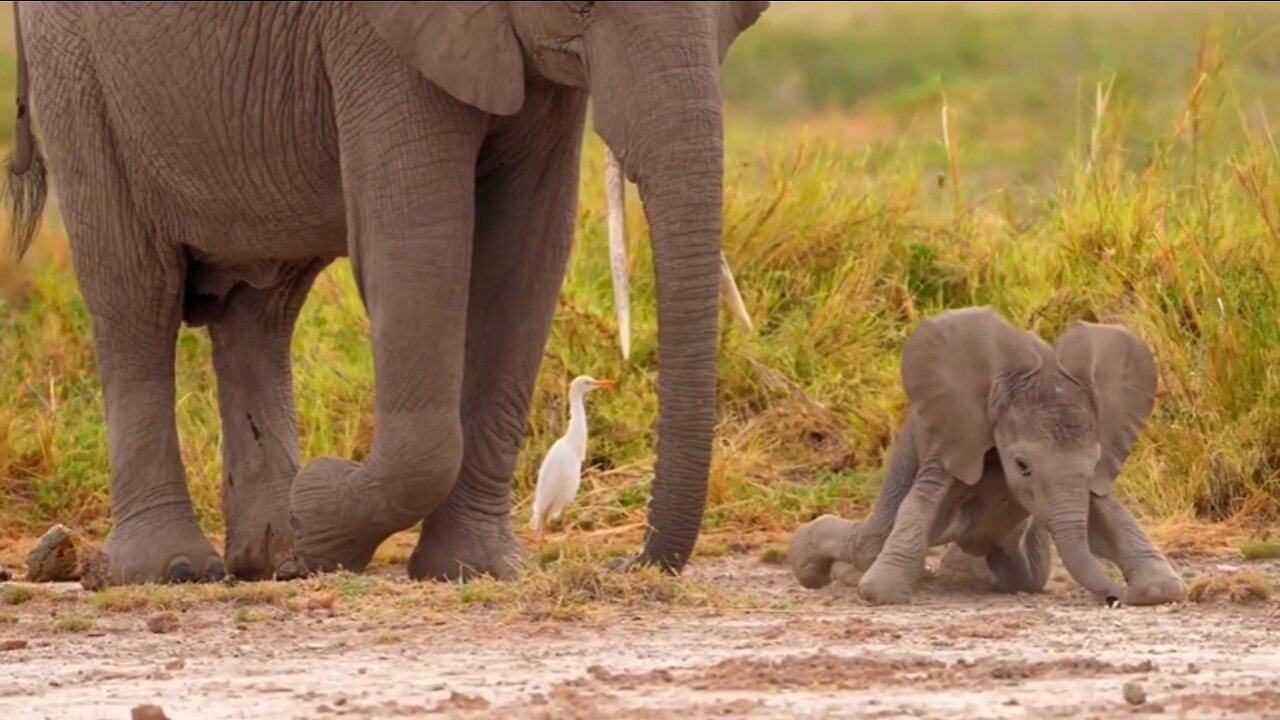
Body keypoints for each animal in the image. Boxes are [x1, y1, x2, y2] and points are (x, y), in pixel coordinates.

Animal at [5, 0, 768, 584]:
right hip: (77, 68)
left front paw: (476, 570)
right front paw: (320, 507)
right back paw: (173, 570)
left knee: (260, 309)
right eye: (581, 1)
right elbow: (416, 247)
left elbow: (526, 255)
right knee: (136, 293)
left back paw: (275, 560)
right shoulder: (378, 37)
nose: (628, 563)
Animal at [788, 303, 1187, 604]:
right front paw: (879, 592)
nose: (1115, 598)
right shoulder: (955, 436)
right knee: (869, 542)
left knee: (1027, 573)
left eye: (1094, 464)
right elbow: (920, 503)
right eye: (1022, 466)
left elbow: (1108, 515)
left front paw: (1156, 590)